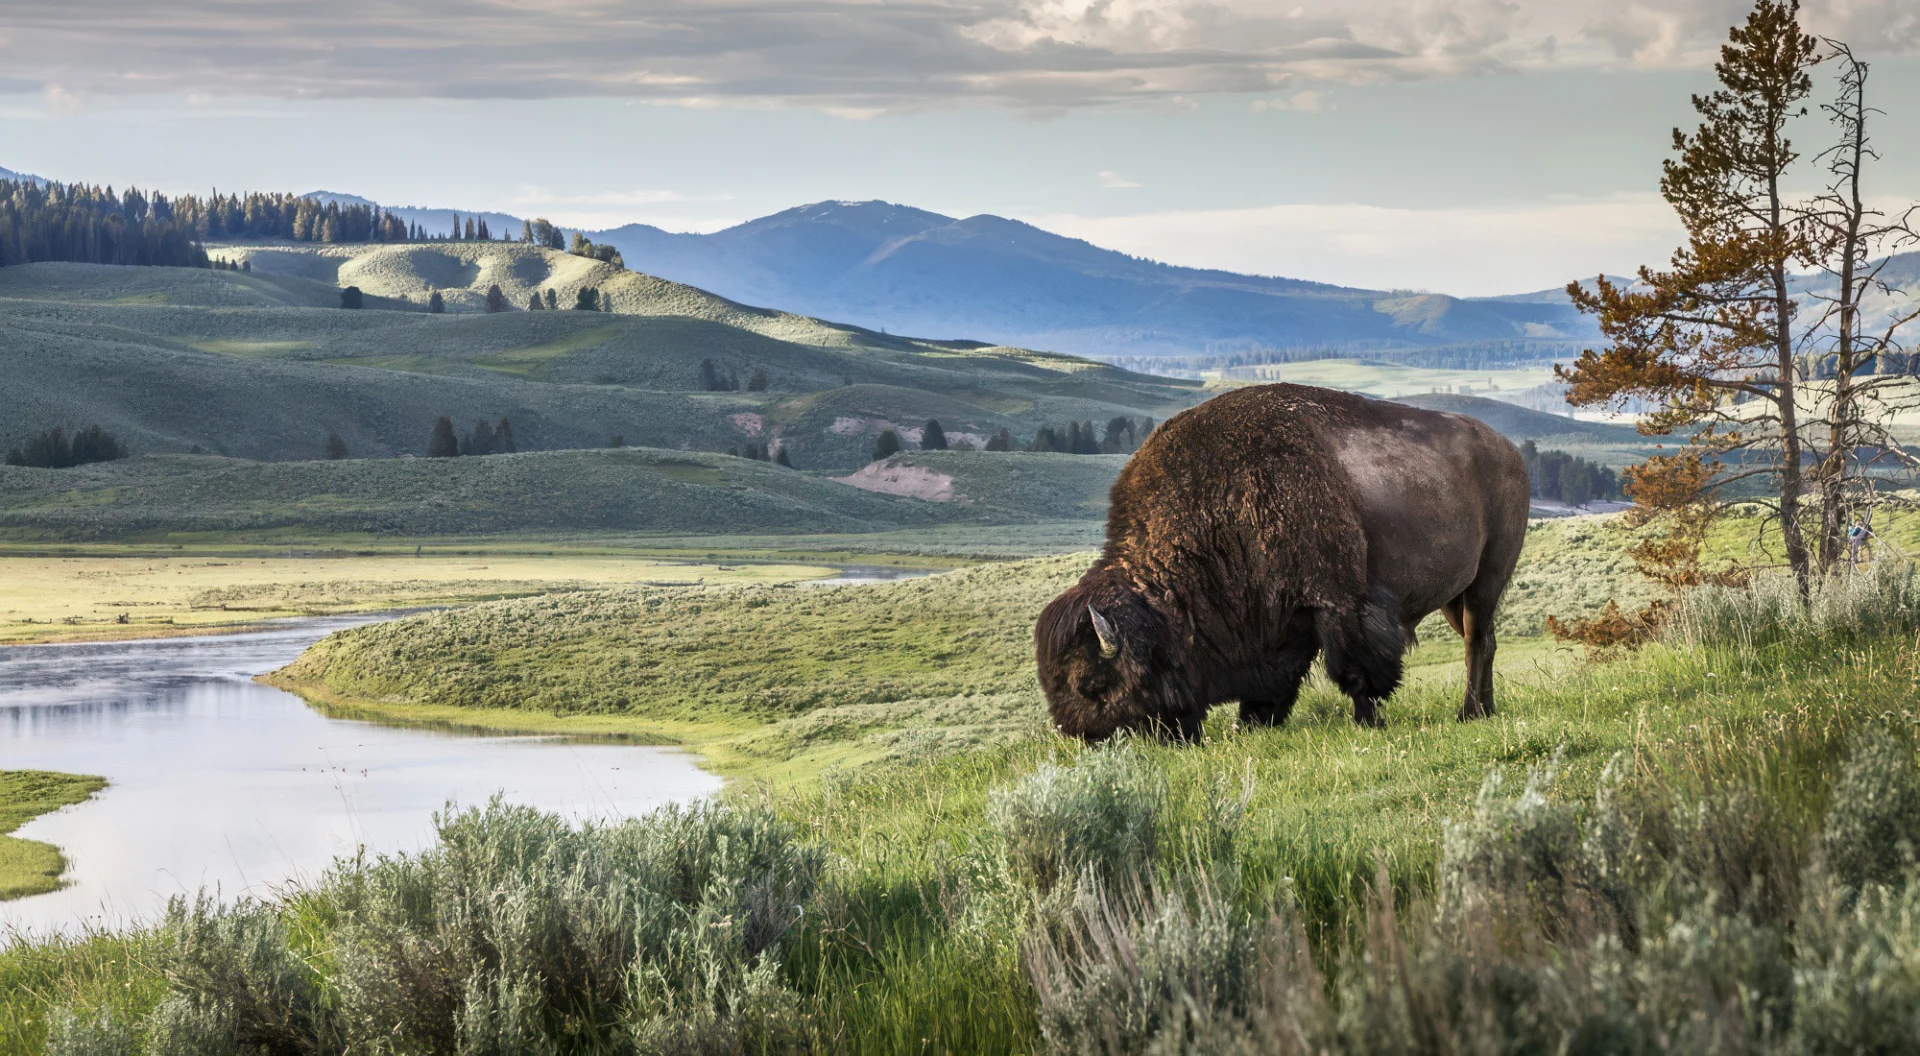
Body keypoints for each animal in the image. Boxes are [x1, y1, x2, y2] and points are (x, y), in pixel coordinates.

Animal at [1036, 384, 1529, 742]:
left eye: (1093, 685)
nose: (1086, 740)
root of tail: (1510, 452)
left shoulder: (1337, 604)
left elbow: (1356, 670)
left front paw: (1367, 721)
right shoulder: (1279, 624)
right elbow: (1277, 684)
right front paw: (1250, 724)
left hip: (1487, 580)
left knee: (1476, 642)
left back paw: (1469, 712)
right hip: (1454, 596)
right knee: (1484, 641)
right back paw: (1485, 710)